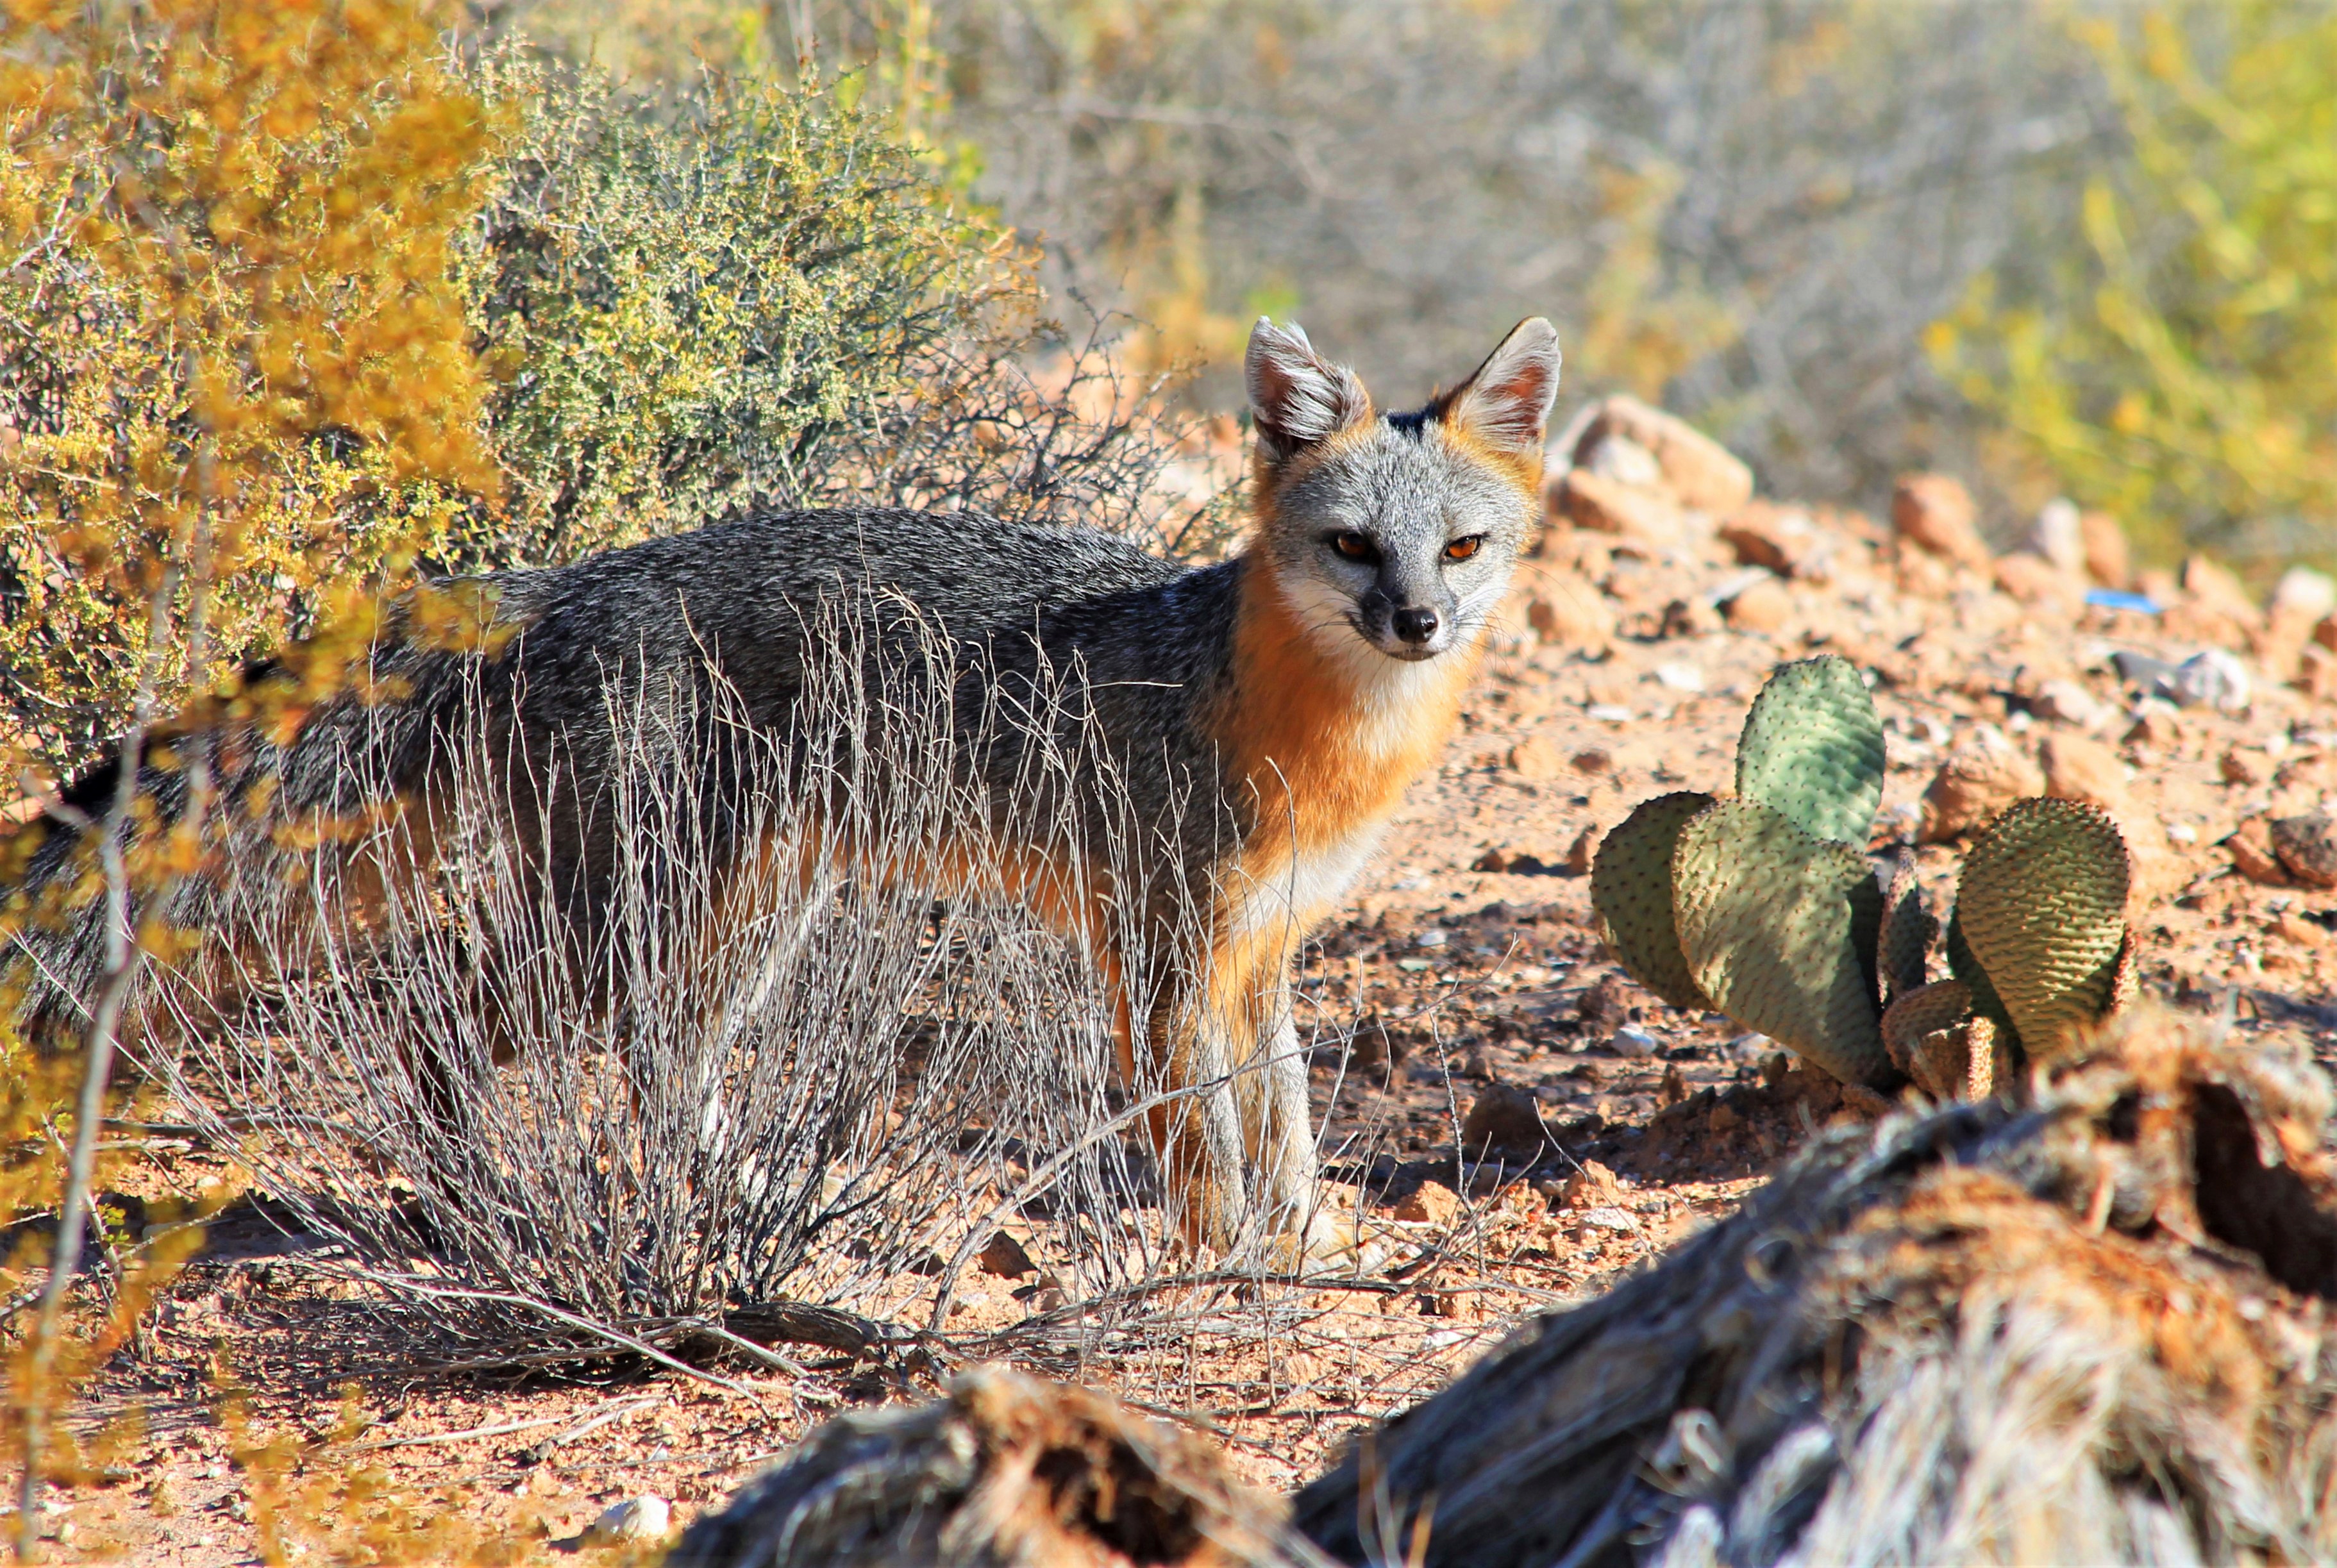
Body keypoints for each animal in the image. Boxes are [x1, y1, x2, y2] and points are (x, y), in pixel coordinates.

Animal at [3, 315, 1560, 1256]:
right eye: (1354, 547)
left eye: (1461, 548)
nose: (1419, 621)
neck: (1297, 723)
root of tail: (558, 583)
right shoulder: (1161, 944)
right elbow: (1205, 1143)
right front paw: (1222, 1264)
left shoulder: (1260, 951)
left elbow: (1284, 1124)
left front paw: (1305, 1250)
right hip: (626, 923)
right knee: (443, 1033)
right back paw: (477, 1198)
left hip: (745, 921)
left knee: (667, 1060)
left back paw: (722, 1197)